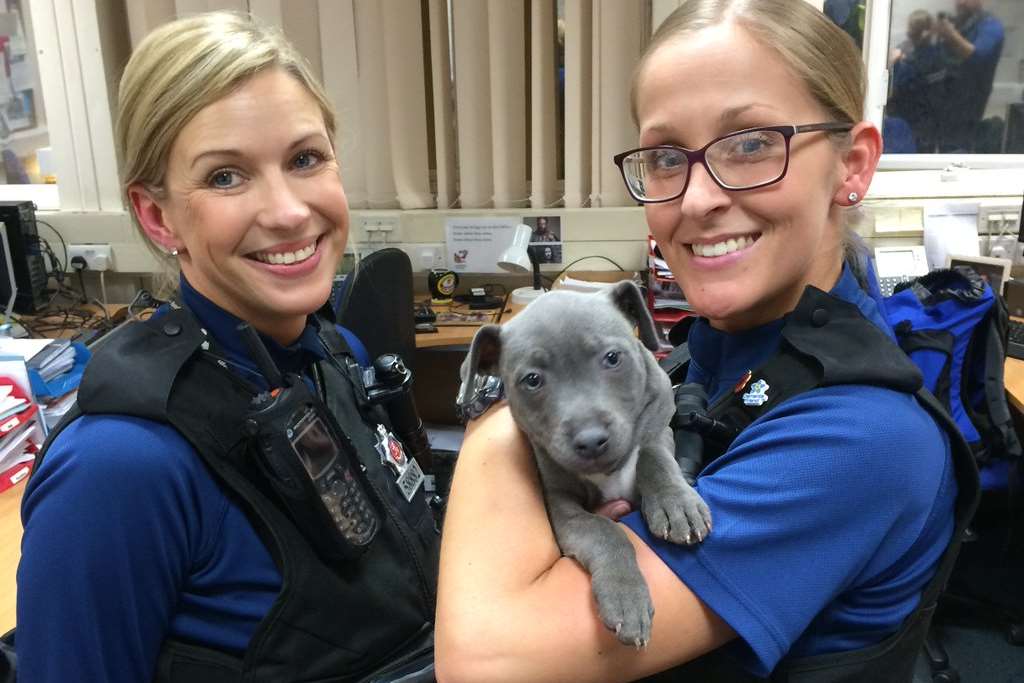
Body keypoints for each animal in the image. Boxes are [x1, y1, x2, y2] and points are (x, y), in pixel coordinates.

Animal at [462, 280, 712, 651]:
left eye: (612, 358)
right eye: (532, 380)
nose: (591, 440)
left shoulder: (661, 425)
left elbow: (652, 455)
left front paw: (675, 504)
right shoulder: (561, 507)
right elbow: (604, 530)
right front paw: (625, 596)